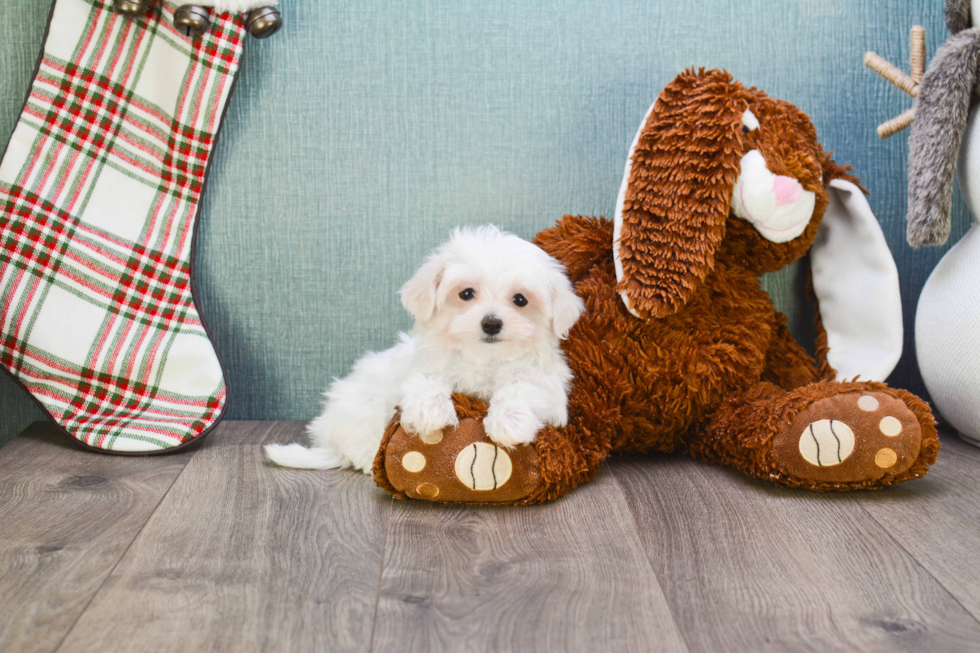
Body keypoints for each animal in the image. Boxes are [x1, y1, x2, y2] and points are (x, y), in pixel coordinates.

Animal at [262, 227, 580, 472]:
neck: (484, 359)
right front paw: (431, 412)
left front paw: (509, 422)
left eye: (520, 300)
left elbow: (524, 388)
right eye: (466, 294)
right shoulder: (419, 368)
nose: (491, 323)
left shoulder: (550, 387)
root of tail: (333, 441)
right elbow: (425, 381)